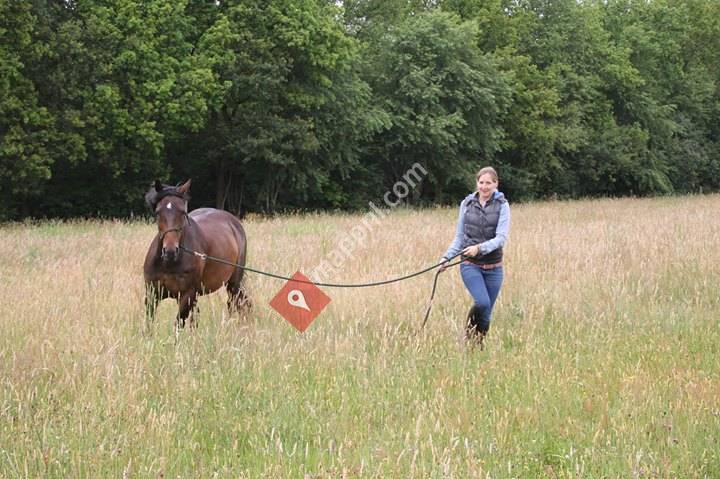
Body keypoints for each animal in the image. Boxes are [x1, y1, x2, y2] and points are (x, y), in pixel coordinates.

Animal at [143, 179, 250, 330]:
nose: (170, 251)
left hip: (233, 283)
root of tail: (234, 222)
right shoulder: (152, 294)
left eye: (183, 212)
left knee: (234, 303)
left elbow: (178, 324)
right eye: (158, 212)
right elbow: (148, 325)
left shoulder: (187, 296)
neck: (168, 264)